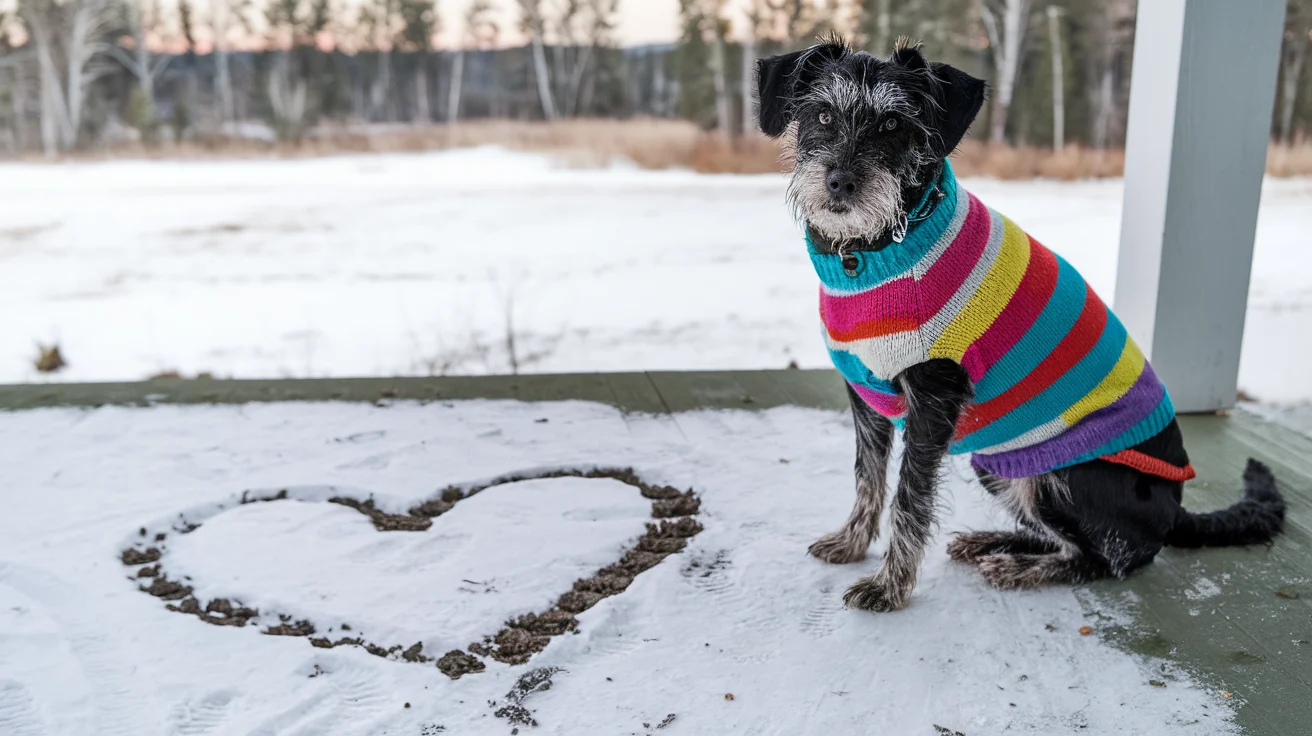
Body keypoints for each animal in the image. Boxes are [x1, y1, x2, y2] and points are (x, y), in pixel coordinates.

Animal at [755, 40, 1285, 611]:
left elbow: (909, 498)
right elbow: (867, 477)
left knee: (1109, 558)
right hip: (999, 467)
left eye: (894, 123)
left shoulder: (932, 403)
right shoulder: (866, 396)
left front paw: (890, 586)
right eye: (821, 114)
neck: (874, 250)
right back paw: (993, 542)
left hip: (1065, 475)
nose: (841, 182)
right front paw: (852, 543)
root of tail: (1175, 509)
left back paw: (1019, 567)